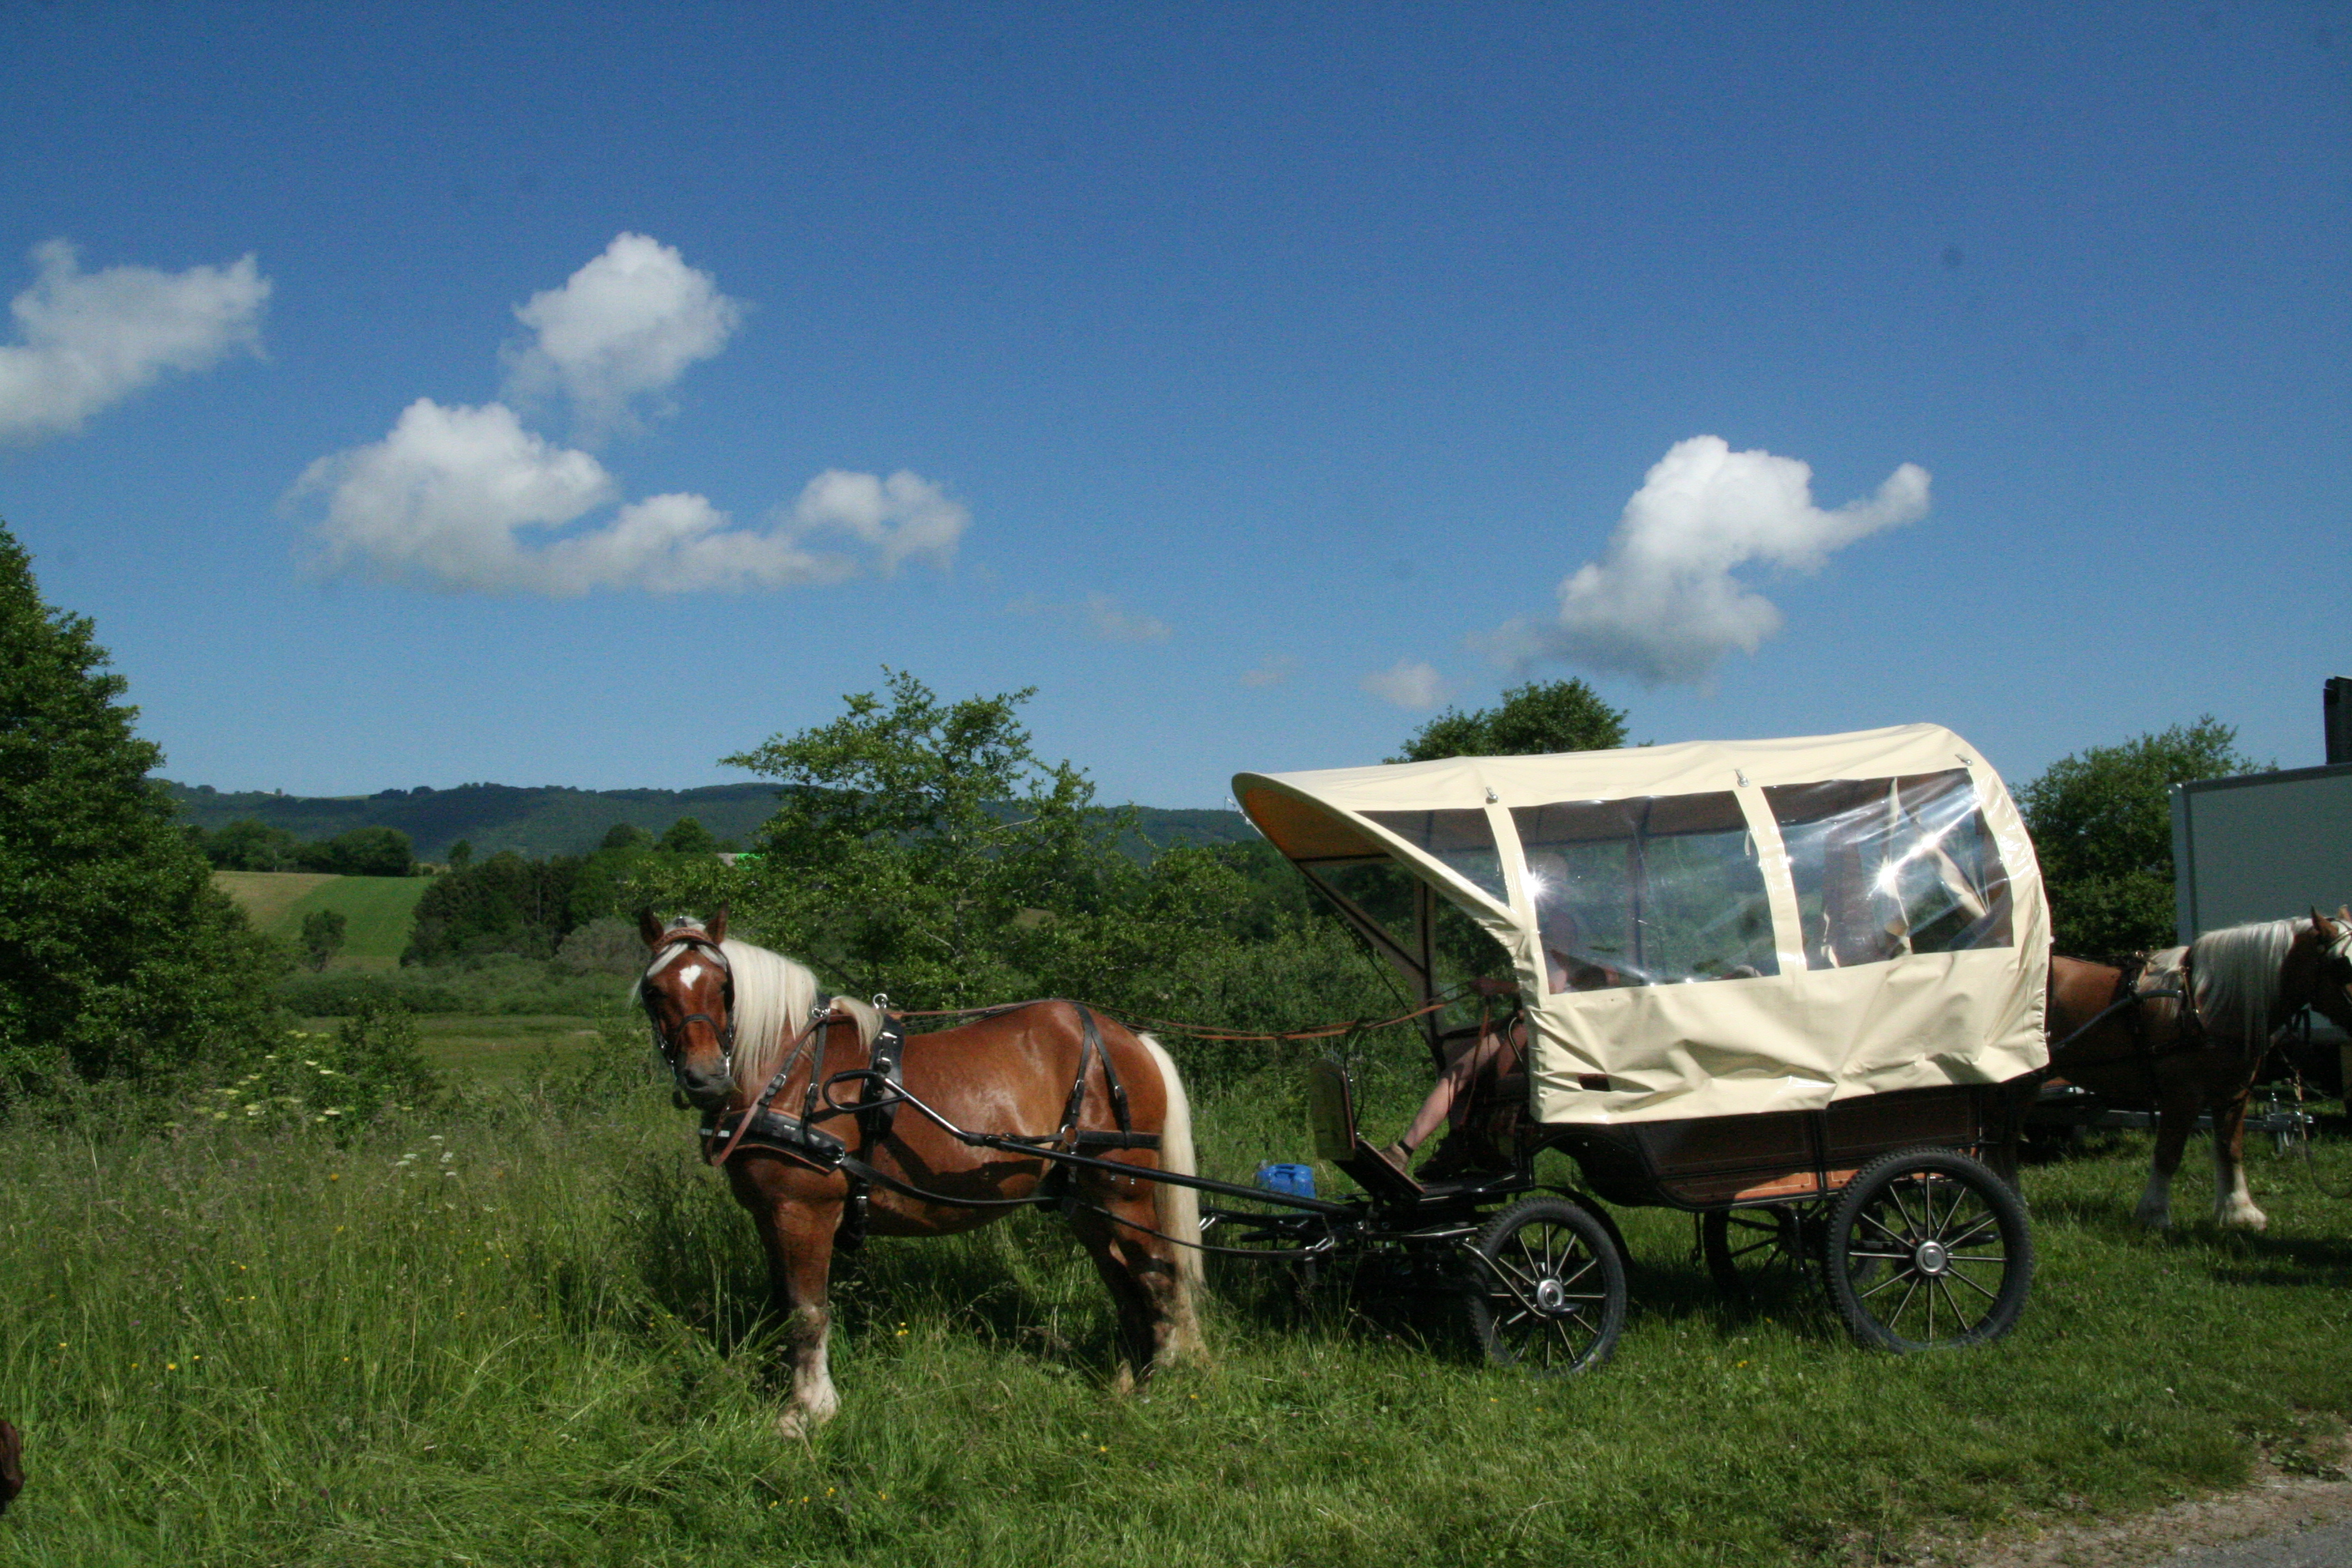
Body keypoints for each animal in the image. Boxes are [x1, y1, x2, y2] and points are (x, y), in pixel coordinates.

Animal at [635, 907, 1204, 1439]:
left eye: (724, 987)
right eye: (653, 991)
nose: (705, 1077)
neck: (791, 1071)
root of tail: (1129, 1040)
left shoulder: (804, 1212)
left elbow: (807, 1311)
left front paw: (809, 1411)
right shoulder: (769, 1215)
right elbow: (783, 1305)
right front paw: (791, 1397)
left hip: (1123, 1191)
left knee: (1158, 1273)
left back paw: (1164, 1380)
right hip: (1083, 1202)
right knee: (1123, 1281)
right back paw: (1128, 1381)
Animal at [2041, 912, 2352, 1232]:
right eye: (2342, 965)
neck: (2204, 1006)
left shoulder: (2234, 1093)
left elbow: (2230, 1149)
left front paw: (2238, 1211)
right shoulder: (2183, 1094)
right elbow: (2168, 1152)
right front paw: (2154, 1214)